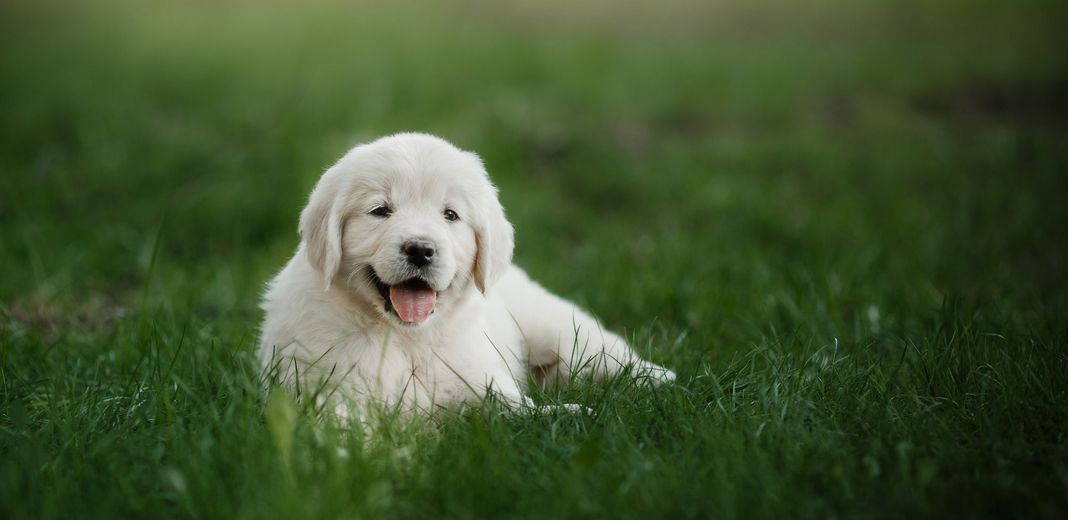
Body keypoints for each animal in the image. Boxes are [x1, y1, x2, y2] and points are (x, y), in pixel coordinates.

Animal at [257, 133, 670, 414]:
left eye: (451, 215)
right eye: (380, 210)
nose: (421, 250)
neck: (407, 338)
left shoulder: (481, 381)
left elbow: (521, 411)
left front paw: (573, 414)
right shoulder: (326, 388)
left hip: (559, 327)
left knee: (607, 352)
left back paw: (659, 380)